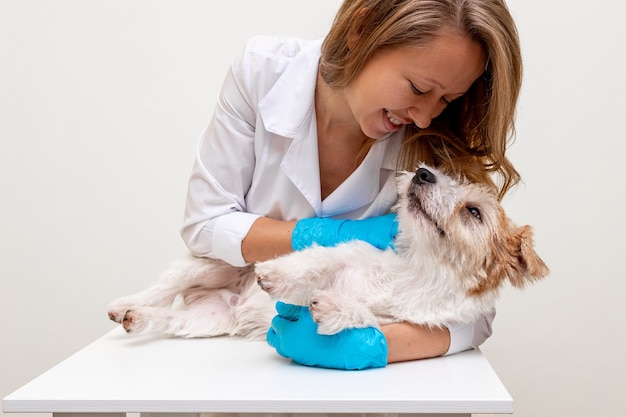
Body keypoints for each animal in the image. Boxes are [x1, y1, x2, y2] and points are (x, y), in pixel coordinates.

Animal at [107, 162, 544, 338]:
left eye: (474, 211)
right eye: (441, 174)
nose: (423, 173)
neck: (418, 268)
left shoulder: (401, 322)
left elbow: (366, 318)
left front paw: (334, 308)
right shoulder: (346, 252)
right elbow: (313, 261)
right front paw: (278, 275)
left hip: (207, 320)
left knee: (170, 318)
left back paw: (139, 319)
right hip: (211, 266)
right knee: (162, 288)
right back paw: (125, 303)